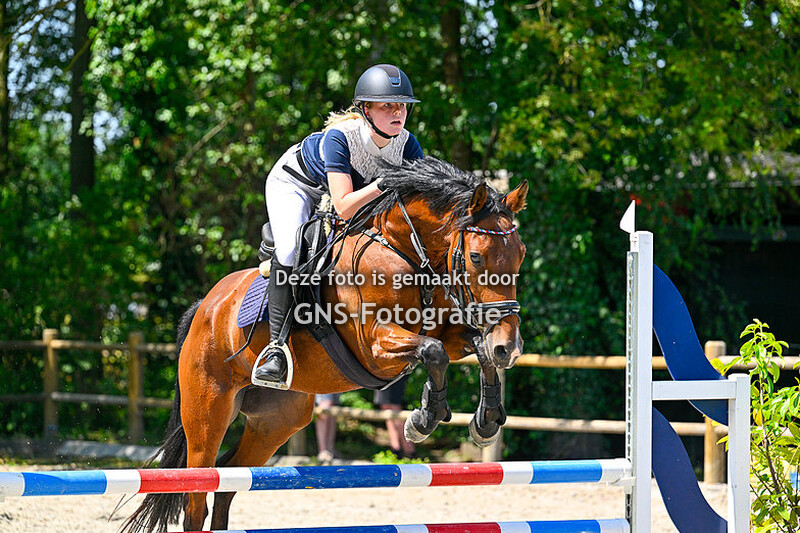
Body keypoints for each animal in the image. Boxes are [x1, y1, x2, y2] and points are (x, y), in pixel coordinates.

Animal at [121, 157, 528, 533]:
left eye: (520, 254)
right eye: (476, 256)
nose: (510, 346)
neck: (404, 251)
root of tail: (205, 308)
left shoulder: (449, 331)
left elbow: (475, 349)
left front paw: (486, 419)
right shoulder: (375, 347)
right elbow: (432, 352)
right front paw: (423, 419)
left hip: (276, 421)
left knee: (228, 482)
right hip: (207, 412)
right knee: (196, 497)